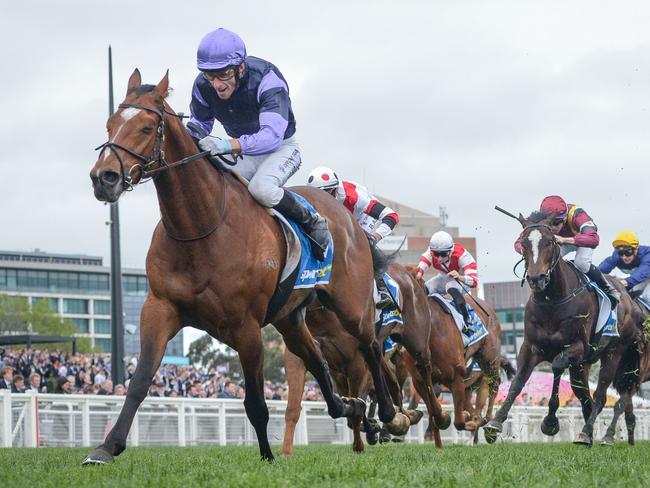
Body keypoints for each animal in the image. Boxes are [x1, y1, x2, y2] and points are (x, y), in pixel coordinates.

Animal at [83, 70, 400, 464]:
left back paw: (388, 414)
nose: (104, 177)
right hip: (290, 319)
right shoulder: (160, 308)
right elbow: (139, 381)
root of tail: (345, 217)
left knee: (370, 345)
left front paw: (267, 456)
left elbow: (256, 403)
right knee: (319, 363)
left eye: (146, 127)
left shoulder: (246, 325)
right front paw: (106, 447)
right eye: (110, 124)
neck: (200, 227)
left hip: (350, 304)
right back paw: (352, 408)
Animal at [480, 212, 636, 448]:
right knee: (584, 395)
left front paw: (550, 422)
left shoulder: (576, 347)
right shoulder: (530, 348)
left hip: (613, 352)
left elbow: (556, 366)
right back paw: (588, 434)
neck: (552, 300)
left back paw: (586, 433)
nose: (536, 278)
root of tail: (627, 298)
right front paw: (494, 423)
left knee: (600, 396)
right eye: (523, 243)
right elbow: (517, 382)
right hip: (582, 365)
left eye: (550, 242)